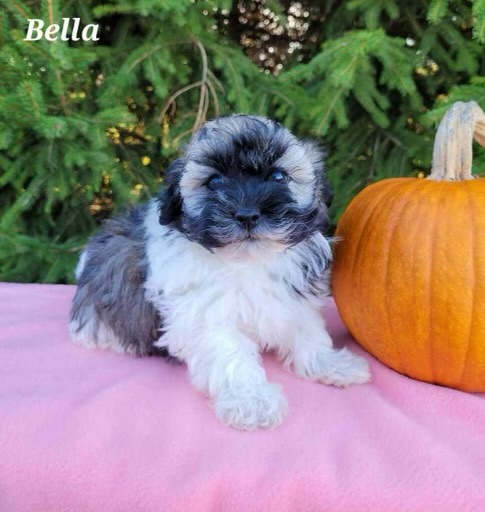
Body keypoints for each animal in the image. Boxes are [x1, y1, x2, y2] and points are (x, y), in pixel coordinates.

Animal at [69, 115, 370, 428]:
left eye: (278, 176)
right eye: (213, 182)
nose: (247, 214)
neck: (247, 261)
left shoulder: (292, 297)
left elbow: (307, 330)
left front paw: (330, 363)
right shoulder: (204, 315)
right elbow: (230, 352)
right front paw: (251, 400)